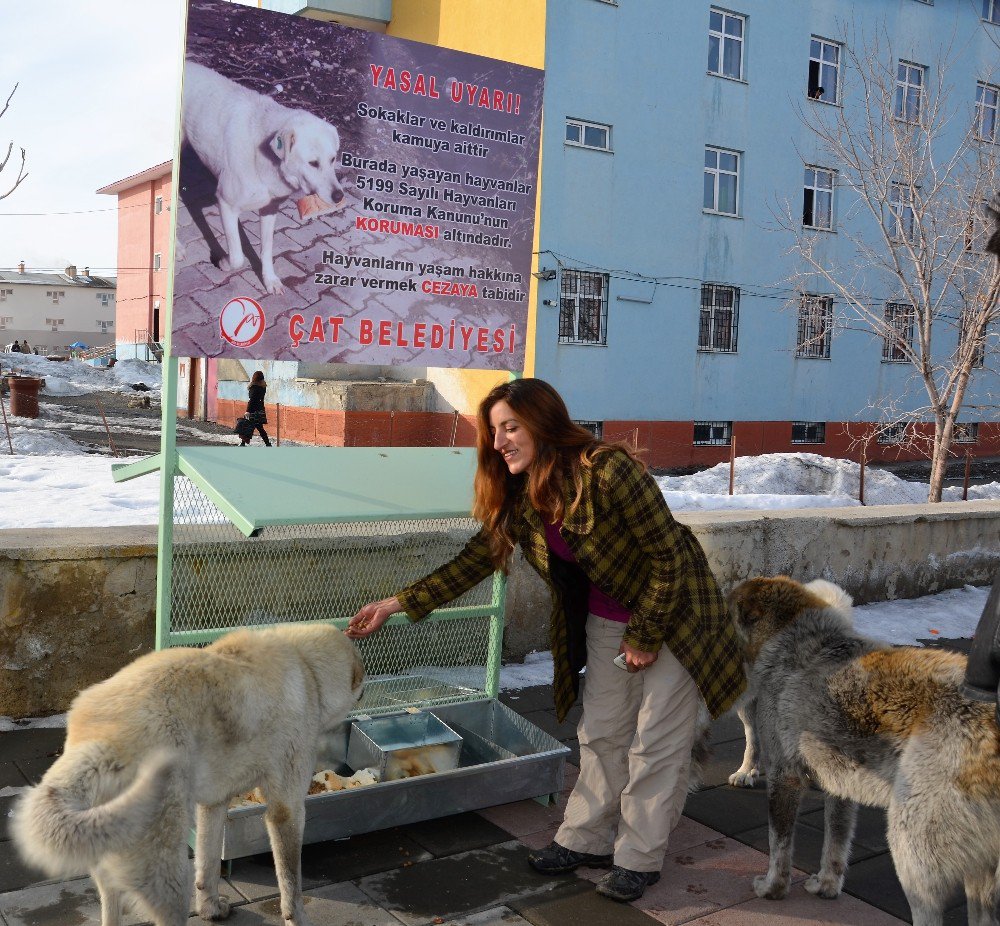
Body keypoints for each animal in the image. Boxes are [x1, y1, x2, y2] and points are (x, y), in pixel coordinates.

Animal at [12, 624, 364, 926]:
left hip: (111, 871)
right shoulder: (286, 810)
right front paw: (298, 917)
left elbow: (208, 867)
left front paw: (211, 909)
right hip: (169, 877)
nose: (363, 689)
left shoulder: (214, 805)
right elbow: (291, 884)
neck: (307, 669)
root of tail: (101, 742)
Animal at [182, 62, 346, 294]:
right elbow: (238, 258)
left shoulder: (270, 209)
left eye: (332, 159)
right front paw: (224, 262)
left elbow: (267, 249)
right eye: (313, 163)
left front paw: (270, 280)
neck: (264, 156)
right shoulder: (226, 203)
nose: (339, 196)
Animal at [728, 580, 1000, 926]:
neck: (794, 639)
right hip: (980, 872)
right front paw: (827, 886)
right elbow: (836, 843)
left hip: (910, 848)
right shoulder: (840, 785)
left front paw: (772, 889)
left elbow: (779, 846)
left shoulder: (783, 775)